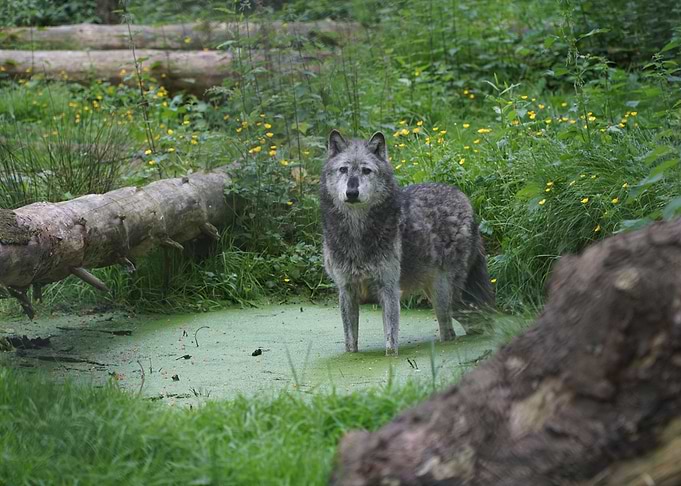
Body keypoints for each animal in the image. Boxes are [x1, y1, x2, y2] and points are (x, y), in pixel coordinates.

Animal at [320, 129, 494, 355]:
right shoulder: (346, 290)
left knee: (453, 331)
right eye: (343, 169)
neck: (357, 233)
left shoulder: (389, 289)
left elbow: (391, 341)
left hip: (445, 297)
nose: (352, 192)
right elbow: (351, 345)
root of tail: (464, 199)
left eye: (366, 171)